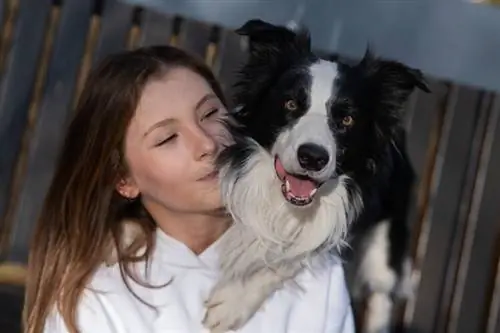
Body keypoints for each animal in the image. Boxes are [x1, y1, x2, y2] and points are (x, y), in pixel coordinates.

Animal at [200, 18, 430, 332]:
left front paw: (232, 303)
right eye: (290, 104)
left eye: (347, 119)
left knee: (381, 290)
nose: (312, 157)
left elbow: (289, 258)